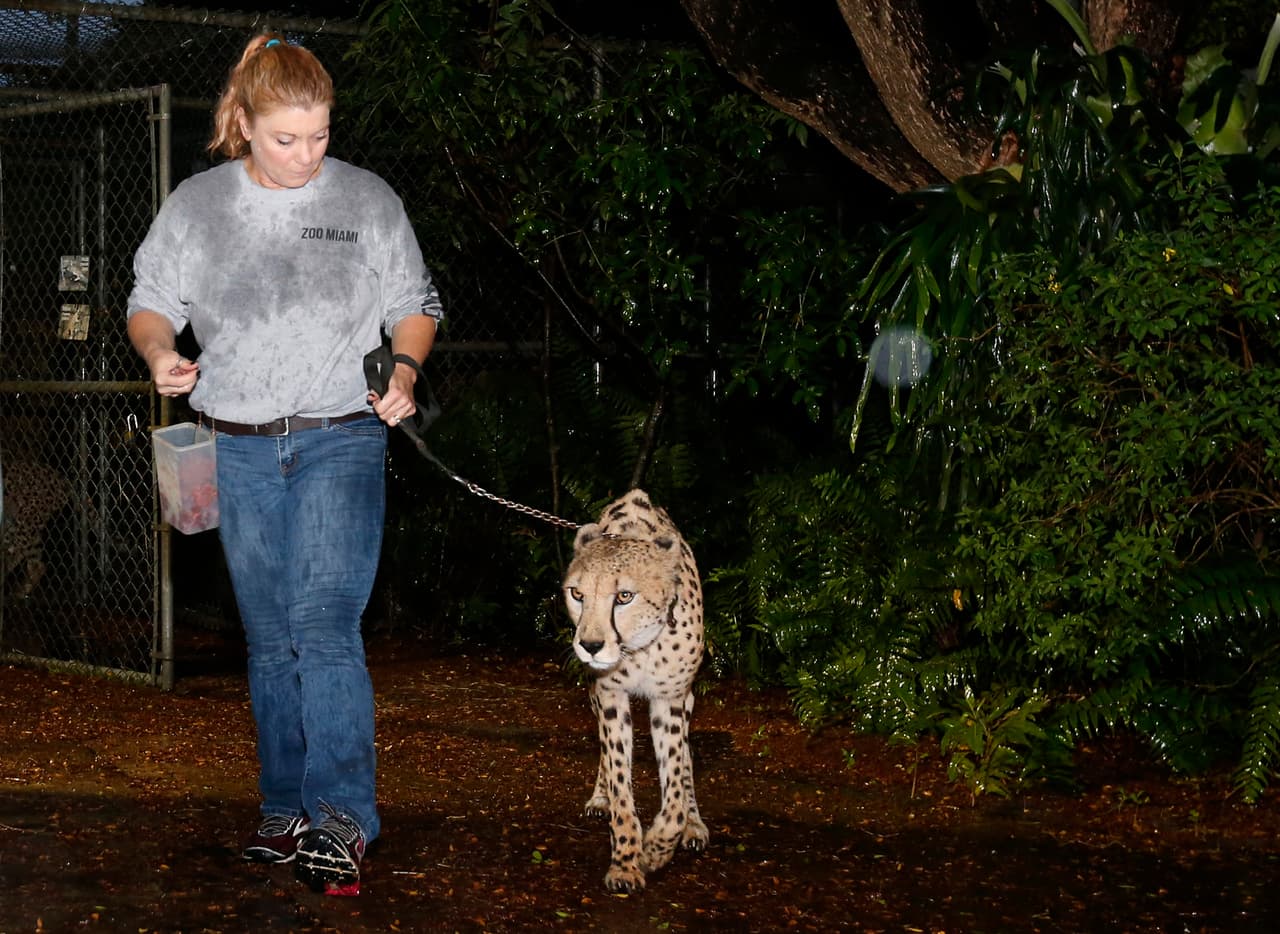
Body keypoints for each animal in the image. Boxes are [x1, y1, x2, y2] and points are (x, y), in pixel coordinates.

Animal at [562, 489, 709, 893]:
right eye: (577, 594)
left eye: (624, 596)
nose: (590, 645)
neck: (641, 646)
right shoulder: (610, 694)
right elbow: (618, 777)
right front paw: (626, 862)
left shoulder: (670, 699)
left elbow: (675, 787)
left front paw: (657, 848)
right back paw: (600, 798)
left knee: (687, 762)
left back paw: (694, 824)